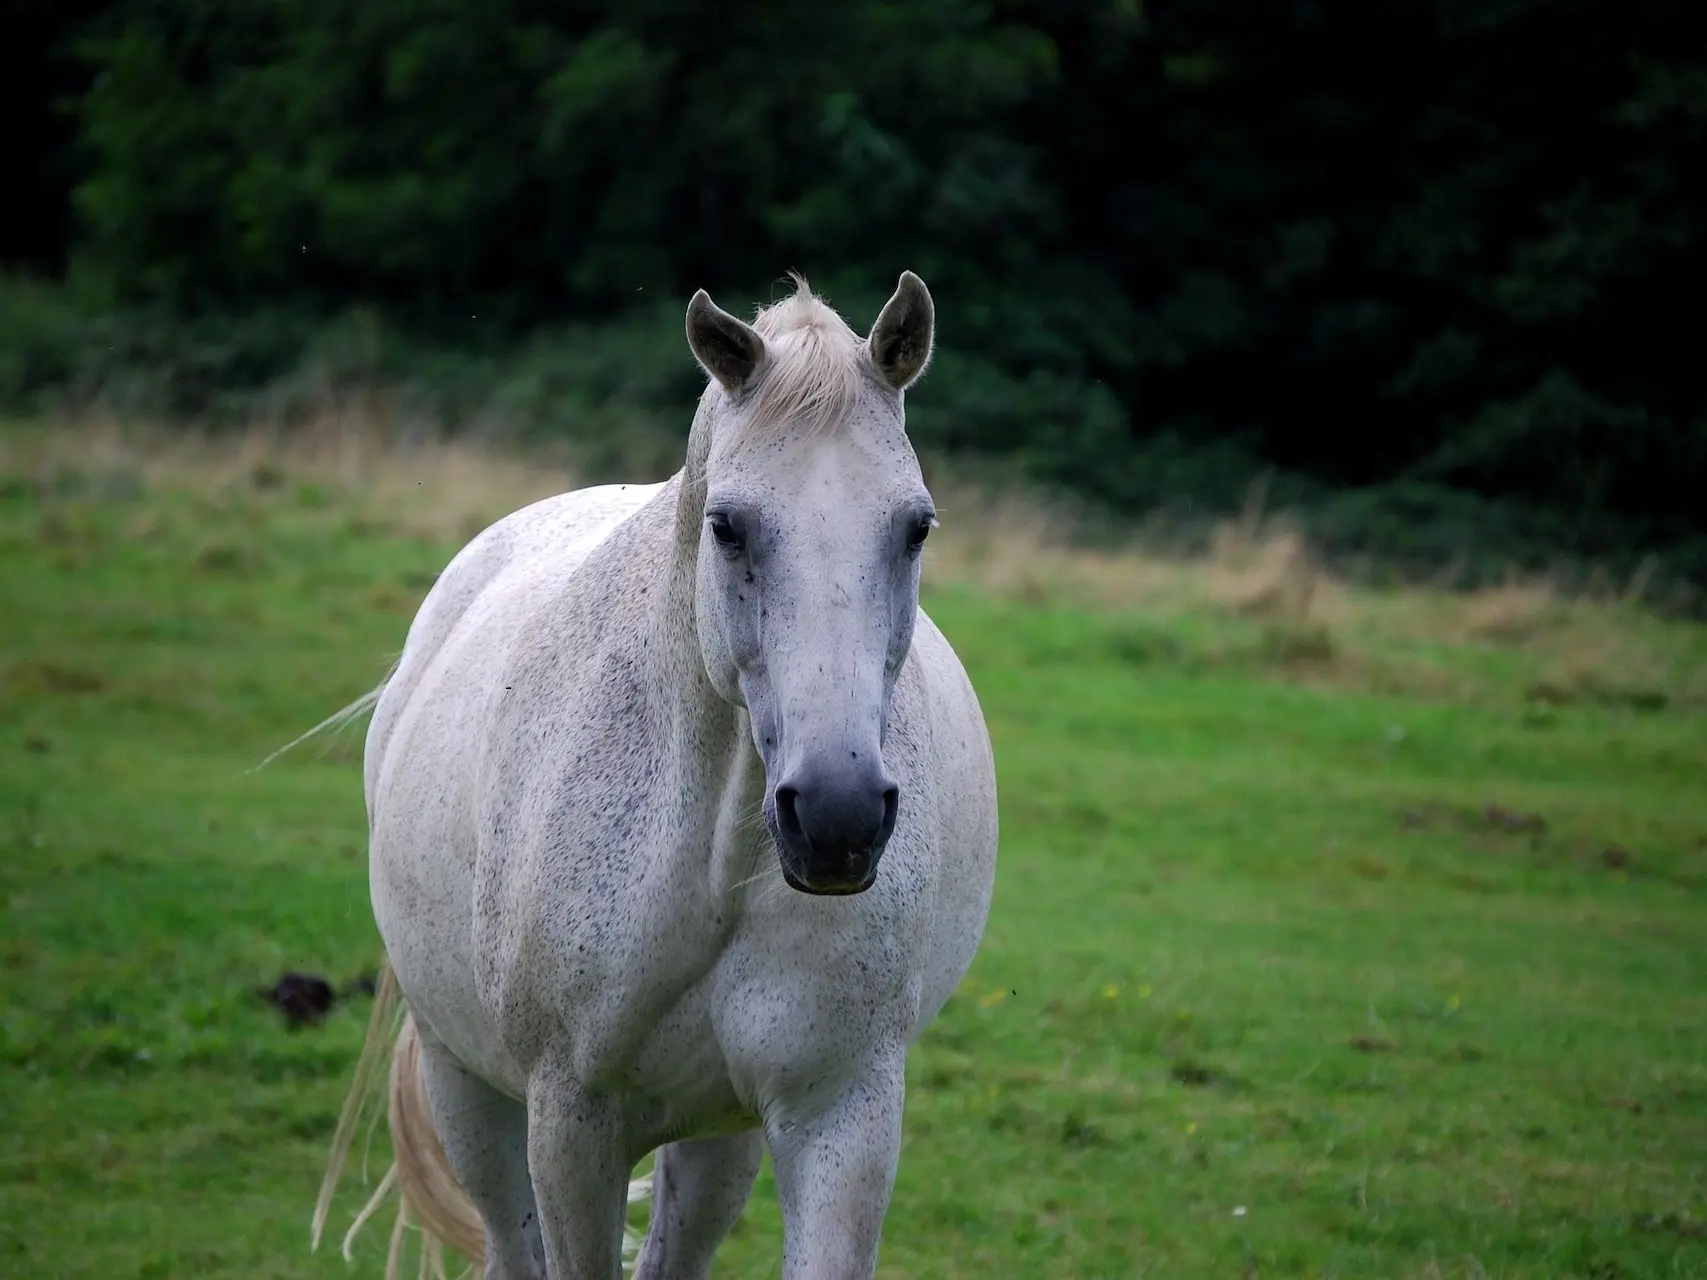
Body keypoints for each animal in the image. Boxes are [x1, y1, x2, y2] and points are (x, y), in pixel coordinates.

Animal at [312, 273, 996, 1280]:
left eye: (915, 527)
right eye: (728, 527)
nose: (835, 817)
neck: (712, 860)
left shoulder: (840, 1118)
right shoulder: (570, 1128)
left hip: (720, 1138)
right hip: (463, 1084)